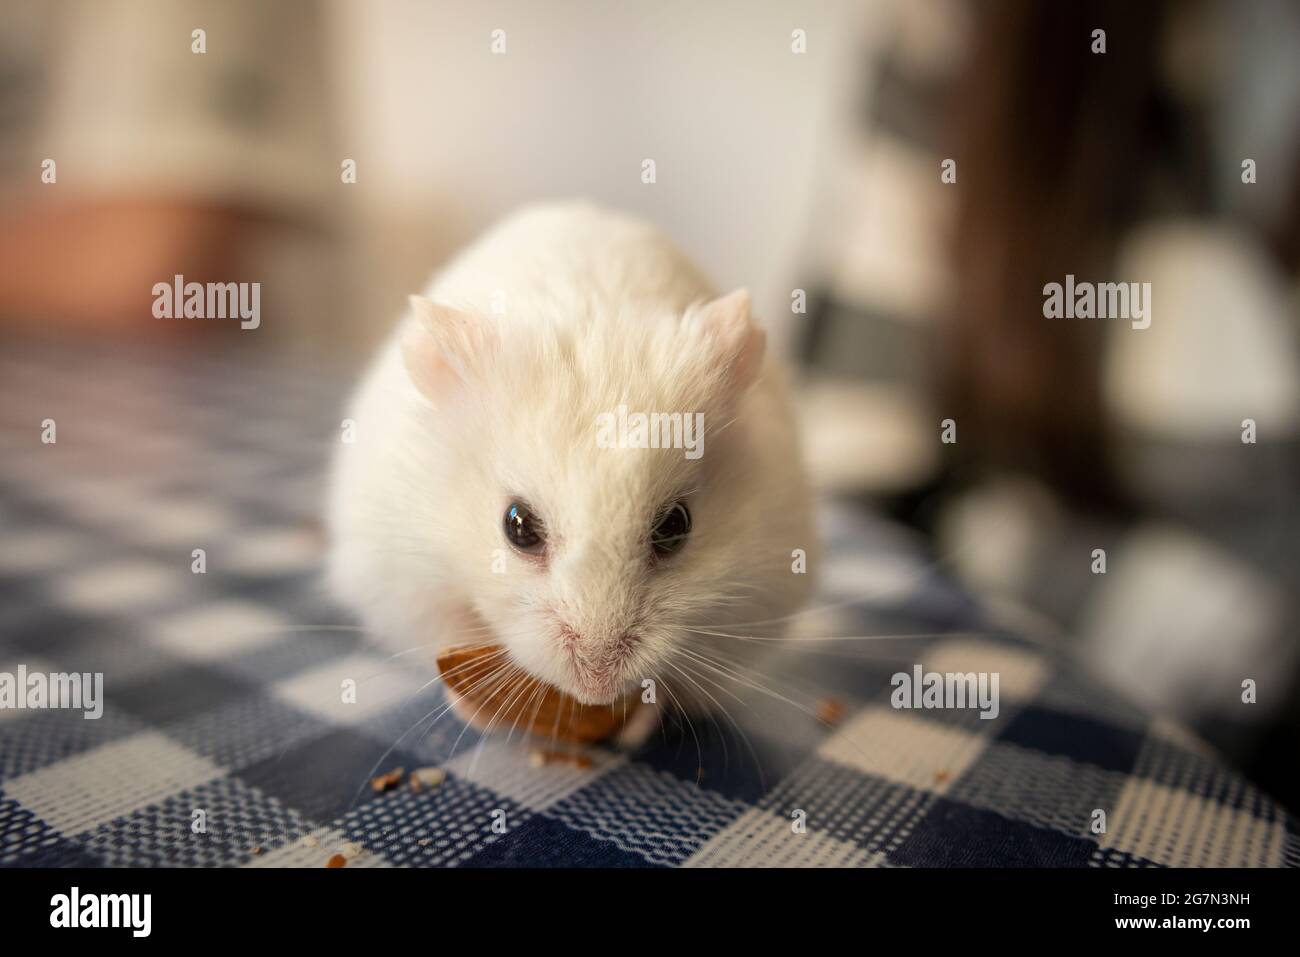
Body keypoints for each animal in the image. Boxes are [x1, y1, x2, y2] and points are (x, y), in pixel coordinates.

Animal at [327, 202, 815, 731]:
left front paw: (636, 723)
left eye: (675, 527)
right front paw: (477, 712)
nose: (597, 688)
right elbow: (449, 629)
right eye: (517, 526)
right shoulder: (400, 575)